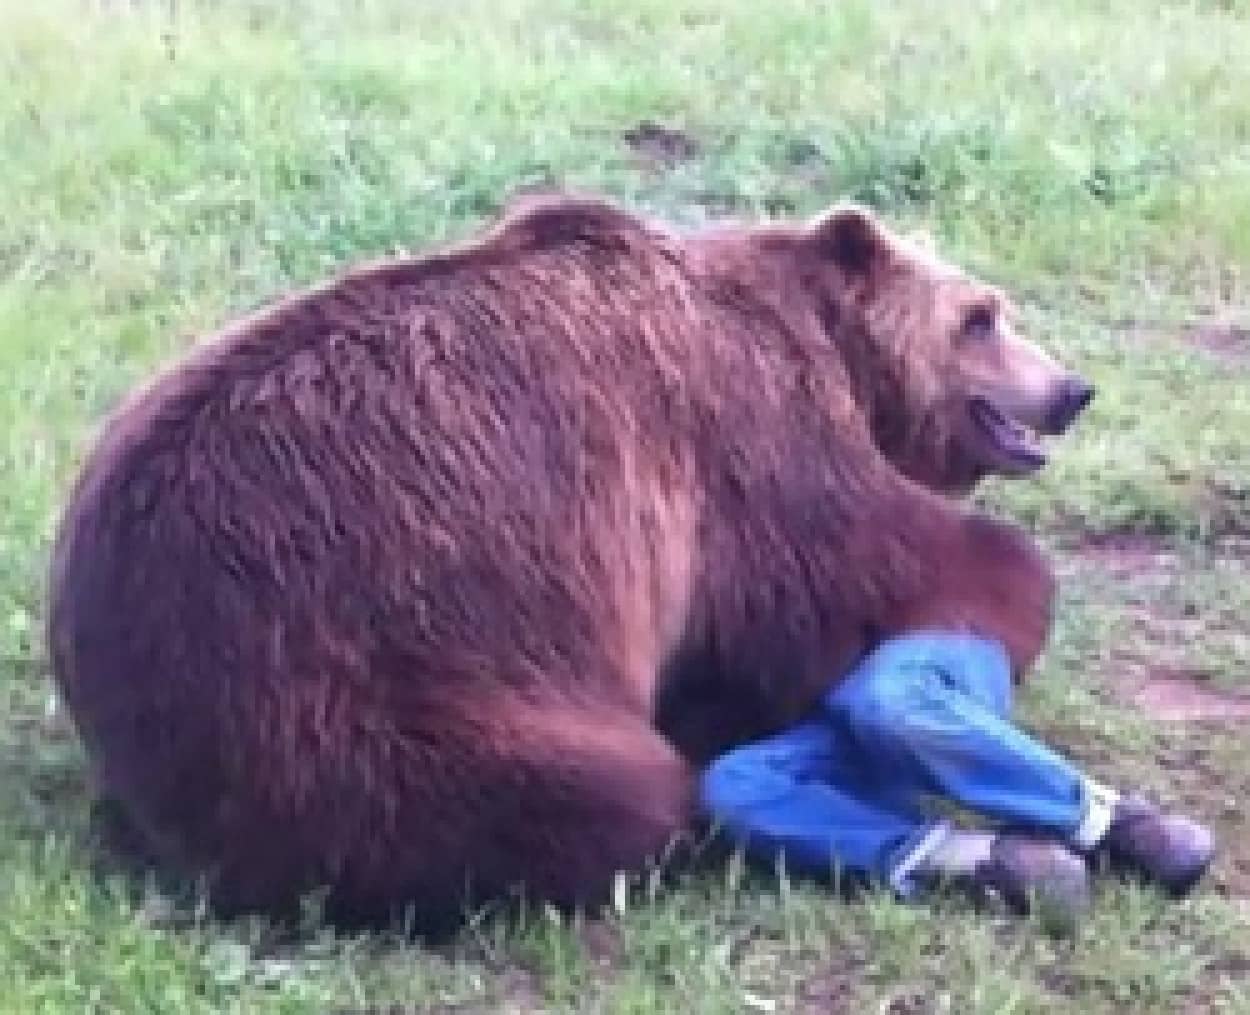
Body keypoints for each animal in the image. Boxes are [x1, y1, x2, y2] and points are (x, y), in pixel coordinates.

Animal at [46, 190, 1095, 930]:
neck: (827, 348)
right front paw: (1009, 588)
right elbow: (859, 572)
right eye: (980, 316)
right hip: (377, 679)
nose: (1071, 388)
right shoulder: (741, 439)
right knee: (592, 794)